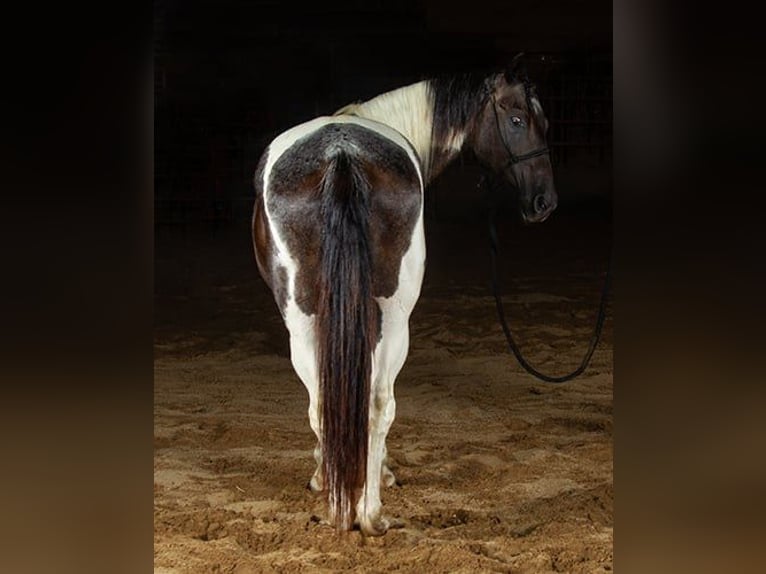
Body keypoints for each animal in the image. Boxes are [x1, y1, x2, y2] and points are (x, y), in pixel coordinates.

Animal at [251, 55, 557, 536]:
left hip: (312, 320)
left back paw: (356, 509)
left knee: (330, 401)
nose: (545, 201)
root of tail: (342, 155)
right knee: (370, 401)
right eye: (518, 119)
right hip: (387, 318)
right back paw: (364, 511)